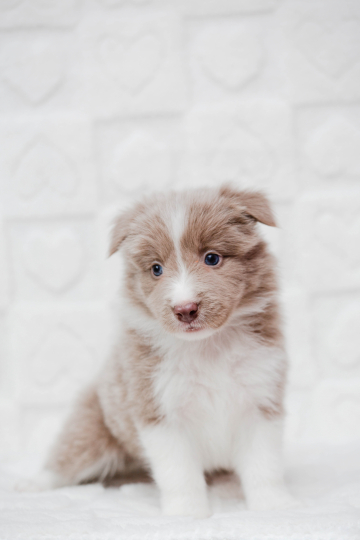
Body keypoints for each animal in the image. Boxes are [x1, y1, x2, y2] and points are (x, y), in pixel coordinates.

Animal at [38, 187, 294, 520]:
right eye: (156, 269)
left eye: (212, 258)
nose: (185, 309)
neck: (206, 348)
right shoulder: (159, 410)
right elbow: (180, 472)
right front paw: (188, 513)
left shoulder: (260, 398)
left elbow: (265, 465)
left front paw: (273, 506)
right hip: (93, 429)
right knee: (65, 459)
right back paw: (30, 484)